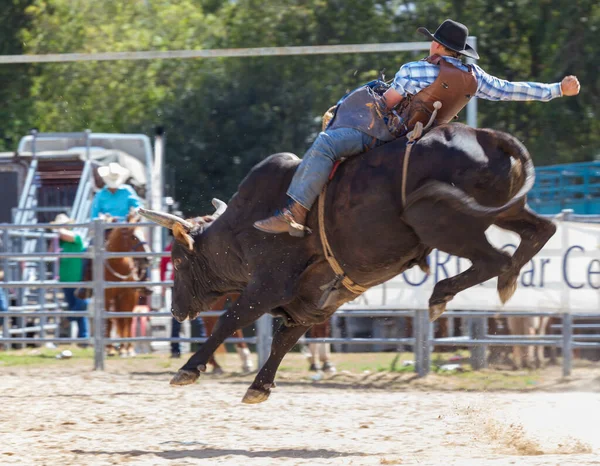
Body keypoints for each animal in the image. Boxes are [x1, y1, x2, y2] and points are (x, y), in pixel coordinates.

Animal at [141, 122, 556, 402]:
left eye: (177, 262)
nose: (175, 310)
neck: (242, 227)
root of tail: (485, 135)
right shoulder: (311, 304)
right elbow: (284, 338)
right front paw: (260, 386)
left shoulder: (268, 286)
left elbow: (231, 319)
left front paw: (188, 369)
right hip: (505, 209)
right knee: (541, 230)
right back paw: (502, 282)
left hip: (438, 219)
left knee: (496, 257)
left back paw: (446, 293)